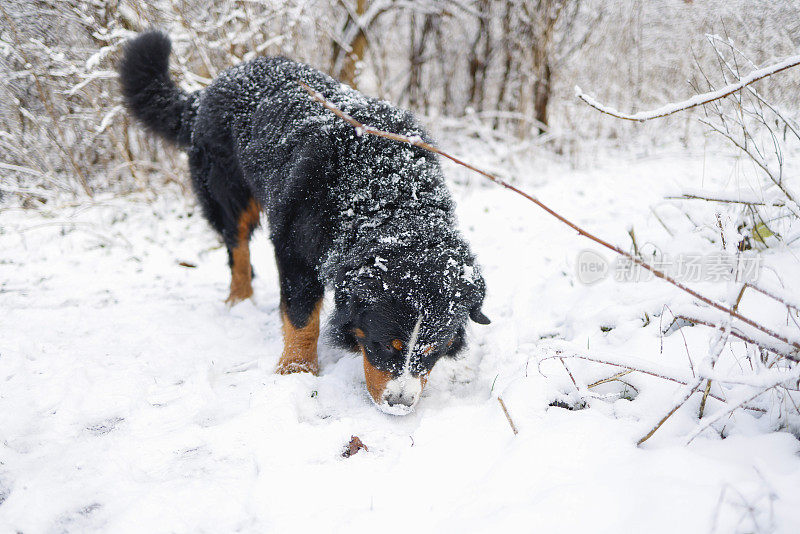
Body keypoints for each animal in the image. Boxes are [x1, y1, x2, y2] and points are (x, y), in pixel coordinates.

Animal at [120, 31, 488, 416]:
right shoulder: (294, 246)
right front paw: (296, 370)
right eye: (386, 344)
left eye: (432, 351)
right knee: (237, 247)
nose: (398, 405)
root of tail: (210, 89)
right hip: (228, 193)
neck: (384, 188)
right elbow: (301, 316)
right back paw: (240, 299)